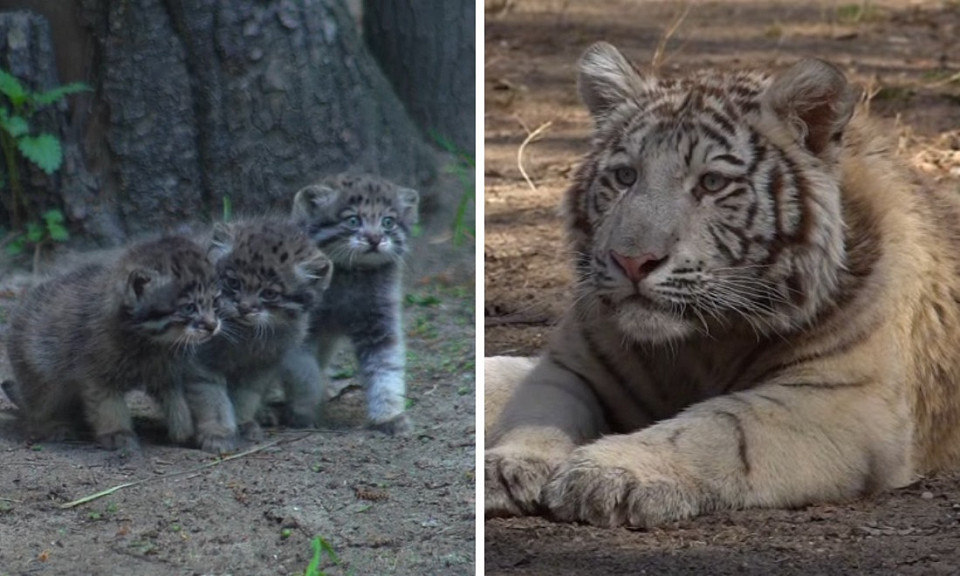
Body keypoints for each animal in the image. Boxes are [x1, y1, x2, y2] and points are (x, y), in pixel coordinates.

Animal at [4, 236, 221, 452]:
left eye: (215, 302)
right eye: (189, 307)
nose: (213, 326)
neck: (150, 340)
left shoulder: (164, 372)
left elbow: (176, 400)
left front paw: (184, 430)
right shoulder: (97, 375)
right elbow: (108, 407)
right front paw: (118, 434)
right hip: (42, 375)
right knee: (38, 406)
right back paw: (53, 426)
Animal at [188, 216, 334, 450]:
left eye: (270, 293)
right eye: (233, 282)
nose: (244, 307)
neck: (246, 336)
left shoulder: (262, 365)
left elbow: (246, 397)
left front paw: (243, 423)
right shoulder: (200, 363)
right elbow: (211, 398)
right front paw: (218, 432)